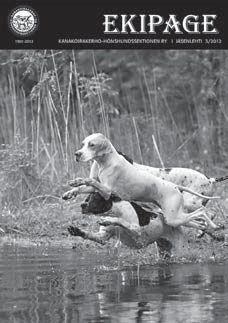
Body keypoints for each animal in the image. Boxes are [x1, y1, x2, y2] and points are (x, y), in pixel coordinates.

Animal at [63, 134, 220, 230]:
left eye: (92, 145)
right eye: (83, 144)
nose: (77, 154)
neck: (104, 162)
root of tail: (175, 186)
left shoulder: (107, 191)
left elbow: (90, 181)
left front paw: (79, 180)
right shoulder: (96, 189)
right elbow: (85, 186)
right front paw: (70, 192)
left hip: (174, 215)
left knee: (201, 211)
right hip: (175, 216)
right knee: (197, 220)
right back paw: (207, 227)